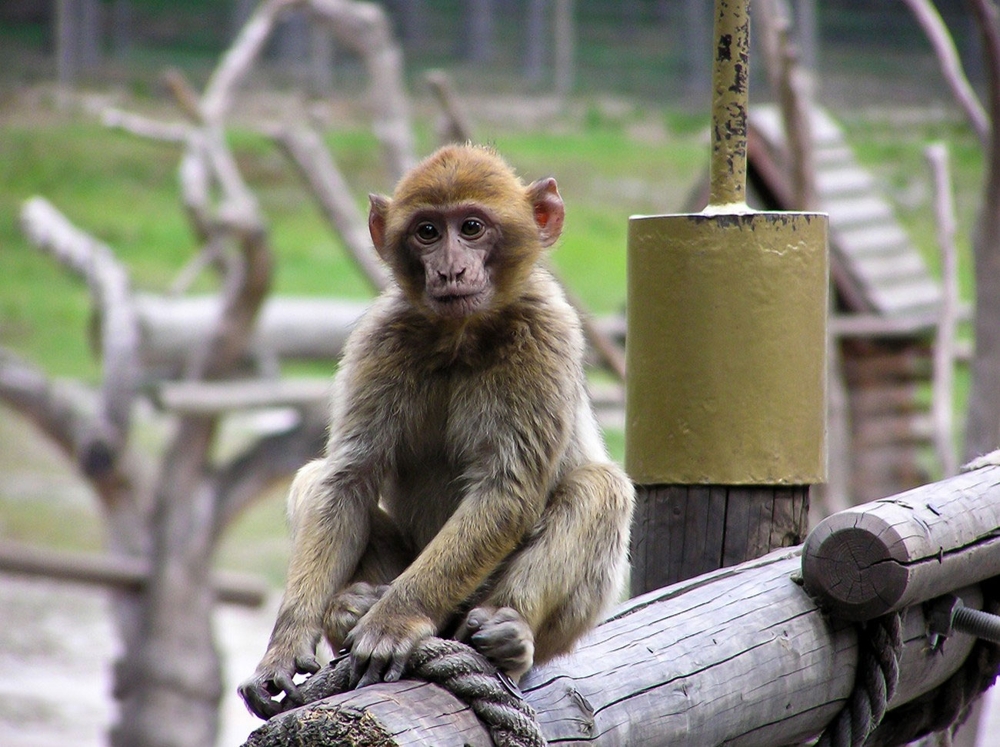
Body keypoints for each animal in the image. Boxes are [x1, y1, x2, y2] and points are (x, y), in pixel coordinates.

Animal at [238, 143, 632, 720]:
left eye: (471, 227)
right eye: (427, 232)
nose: (449, 268)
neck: (461, 337)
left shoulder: (546, 331)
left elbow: (507, 491)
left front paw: (393, 620)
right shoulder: (380, 337)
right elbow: (347, 479)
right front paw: (285, 645)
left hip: (506, 609)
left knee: (601, 487)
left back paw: (510, 636)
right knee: (315, 479)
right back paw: (350, 606)